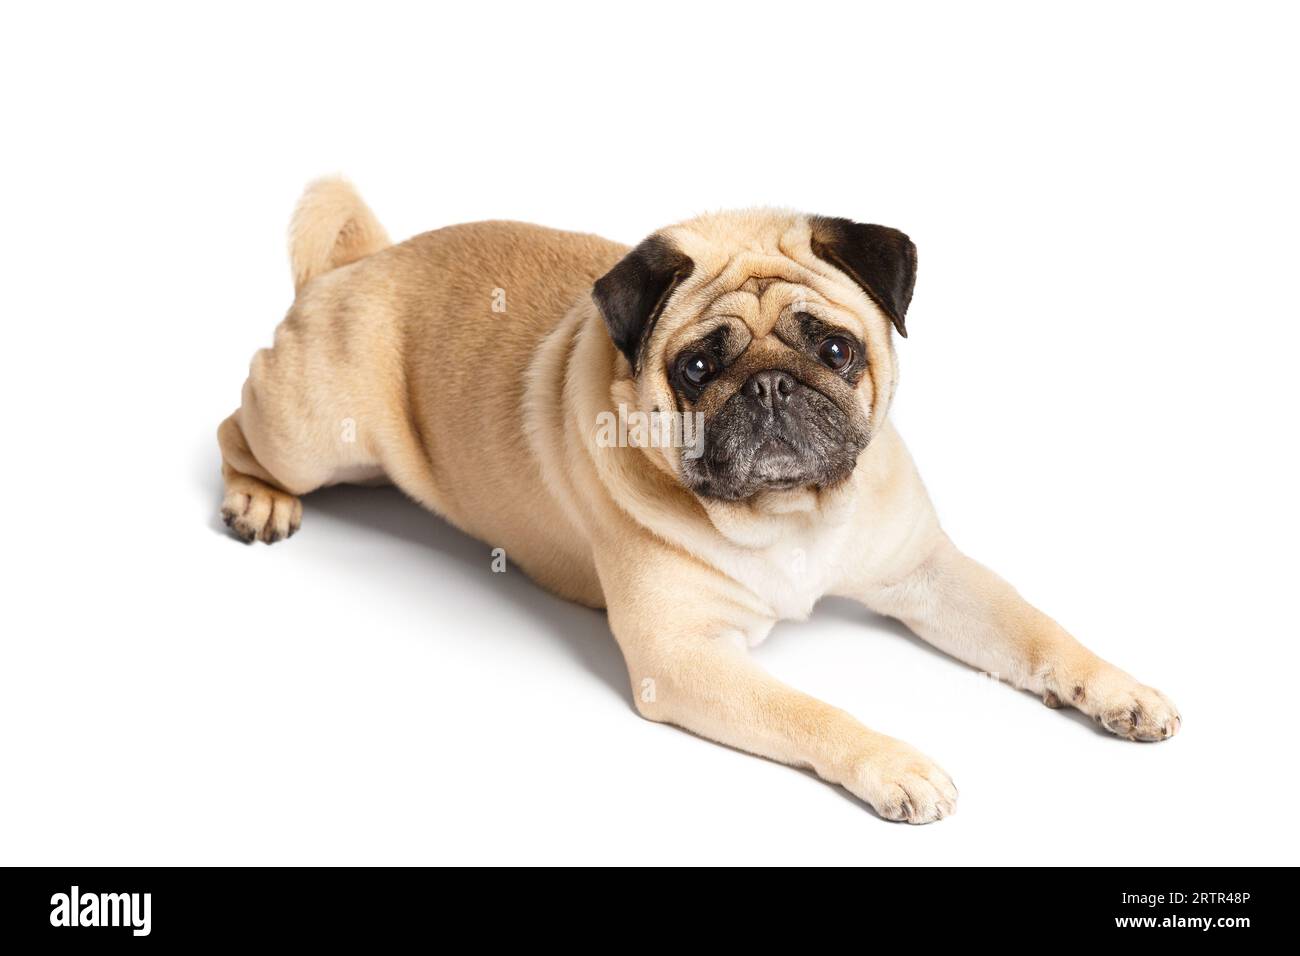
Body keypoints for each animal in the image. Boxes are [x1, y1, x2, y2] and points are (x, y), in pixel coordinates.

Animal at [220, 179, 1180, 822]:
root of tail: (359, 265)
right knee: (237, 429)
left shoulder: (930, 574)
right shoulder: (683, 656)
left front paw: (1117, 689)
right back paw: (257, 502)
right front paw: (891, 761)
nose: (769, 388)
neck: (793, 519)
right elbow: (807, 710)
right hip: (315, 433)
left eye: (836, 350)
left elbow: (1036, 631)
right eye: (698, 367)